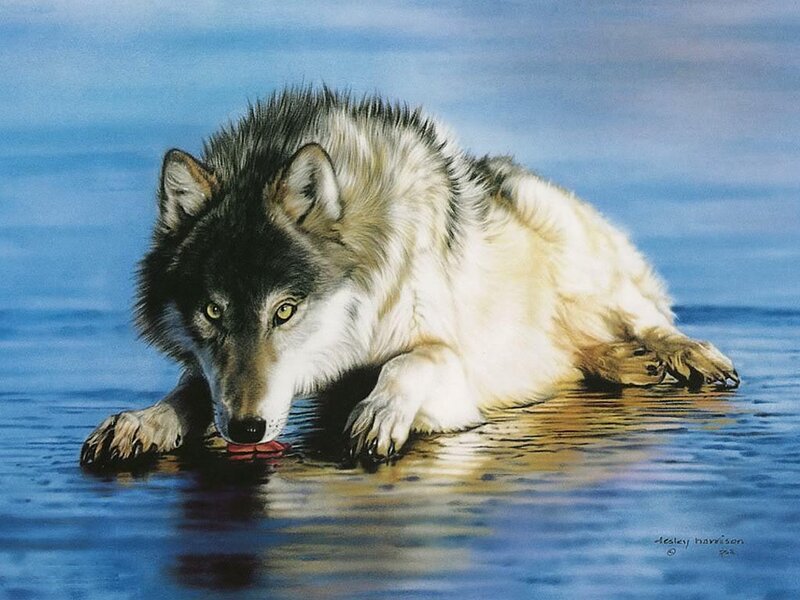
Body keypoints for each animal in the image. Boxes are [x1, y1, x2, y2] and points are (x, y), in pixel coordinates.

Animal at [80, 87, 738, 467]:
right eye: (213, 311)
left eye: (285, 310)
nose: (246, 430)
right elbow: (193, 389)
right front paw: (141, 422)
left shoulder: (448, 369)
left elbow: (411, 361)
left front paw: (377, 413)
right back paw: (620, 363)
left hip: (577, 253)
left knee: (647, 317)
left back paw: (685, 356)